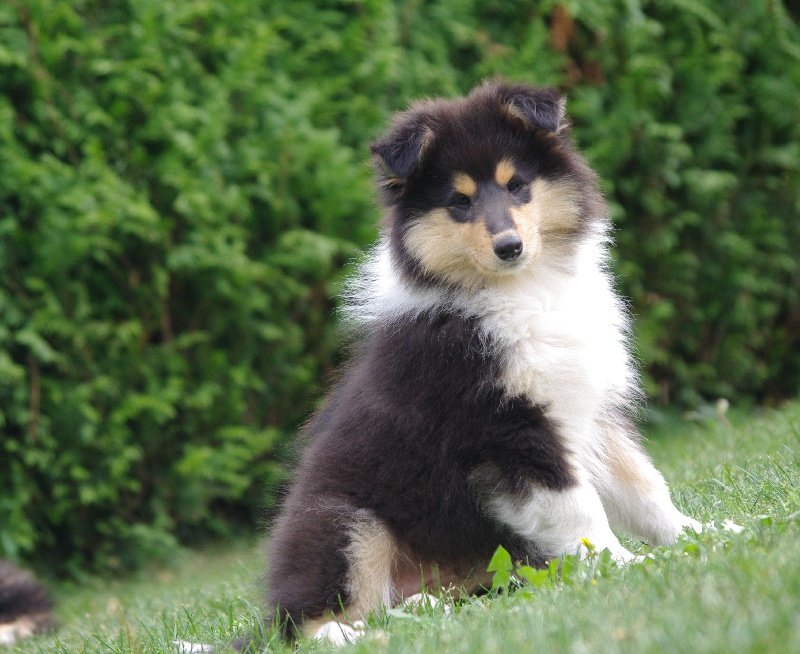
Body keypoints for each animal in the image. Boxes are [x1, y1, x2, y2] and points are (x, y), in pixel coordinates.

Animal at [268, 79, 700, 644]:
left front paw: (704, 535)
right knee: (313, 622)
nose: (509, 247)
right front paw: (624, 564)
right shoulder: (508, 429)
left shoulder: (590, 409)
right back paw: (354, 635)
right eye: (459, 201)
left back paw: (430, 606)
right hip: (346, 524)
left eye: (516, 185)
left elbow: (645, 487)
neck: (525, 290)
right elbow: (579, 508)